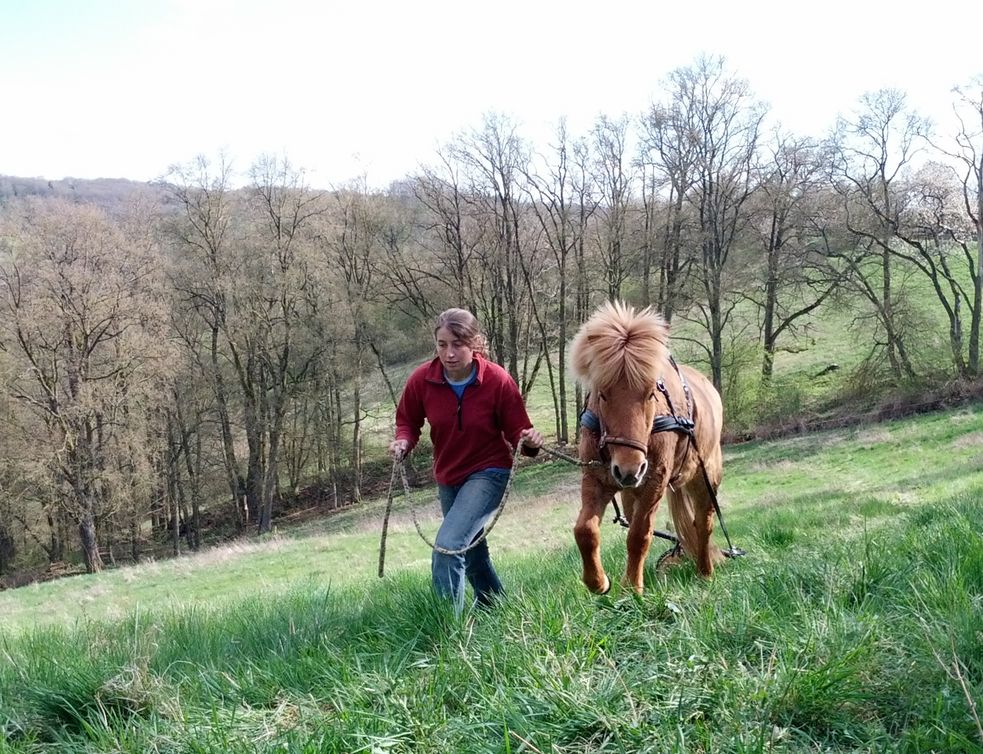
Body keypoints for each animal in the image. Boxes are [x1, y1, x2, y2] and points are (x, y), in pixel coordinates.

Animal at [568, 300, 724, 592]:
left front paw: (632, 589)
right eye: (602, 394)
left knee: (703, 523)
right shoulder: (596, 477)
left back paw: (705, 571)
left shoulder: (654, 482)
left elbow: (639, 535)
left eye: (651, 393)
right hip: (632, 491)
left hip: (705, 476)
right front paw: (599, 582)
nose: (629, 469)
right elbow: (585, 530)